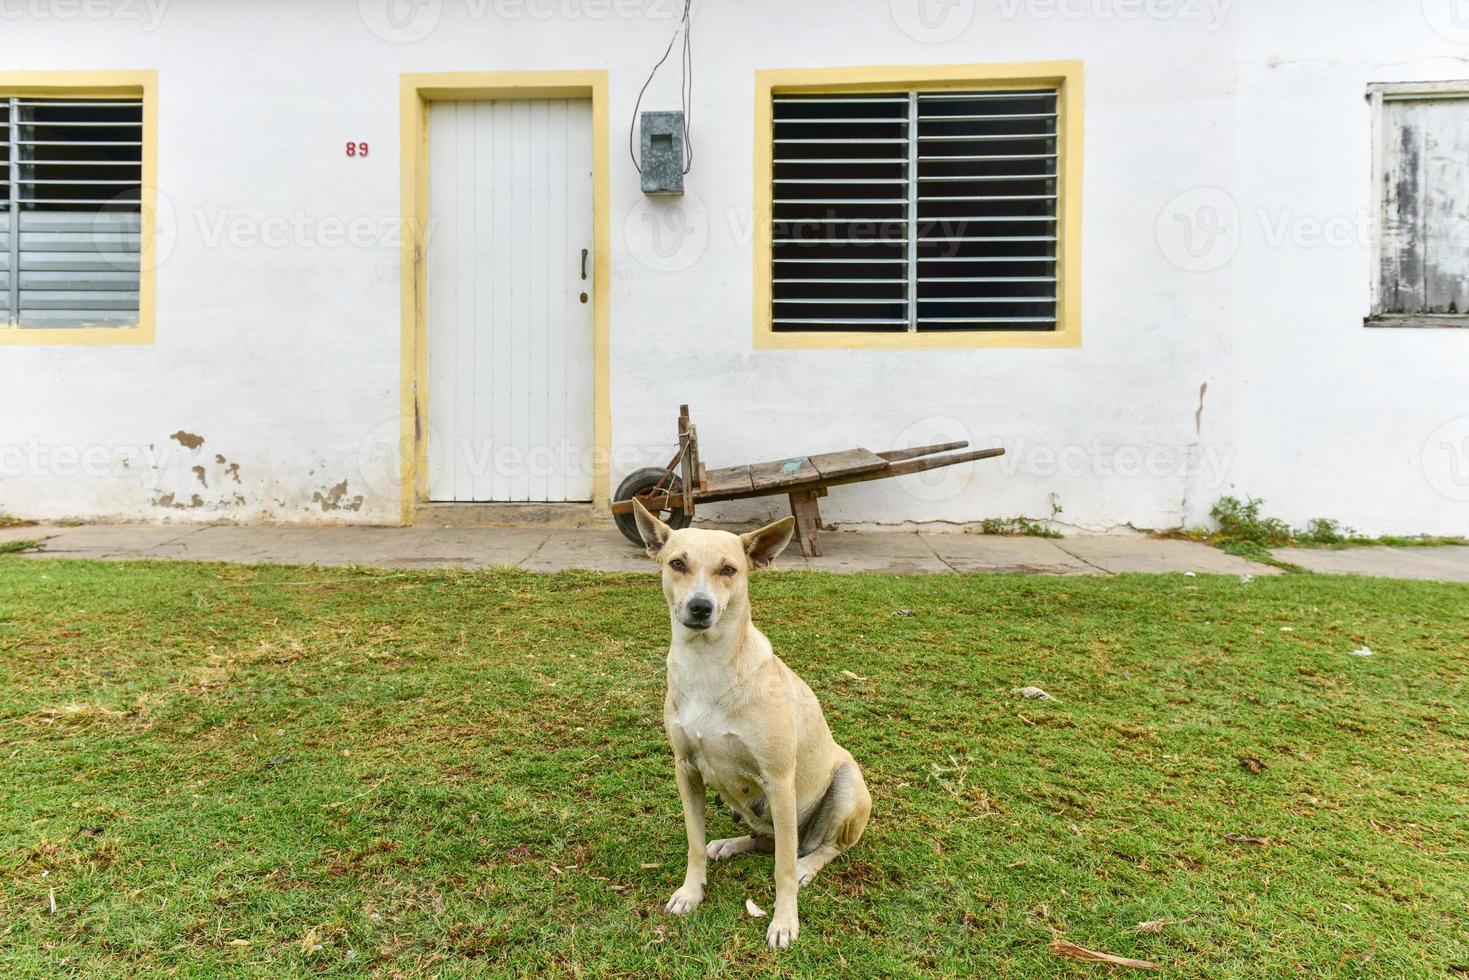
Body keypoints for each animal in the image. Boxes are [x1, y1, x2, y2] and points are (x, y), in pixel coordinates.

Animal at [634, 502, 869, 946]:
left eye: (729, 569)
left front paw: (784, 921)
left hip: (846, 785)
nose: (701, 607)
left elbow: (783, 869)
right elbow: (693, 842)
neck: (707, 667)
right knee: (767, 841)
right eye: (677, 563)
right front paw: (691, 892)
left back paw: (809, 864)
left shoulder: (778, 780)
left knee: (817, 849)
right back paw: (728, 844)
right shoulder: (686, 769)